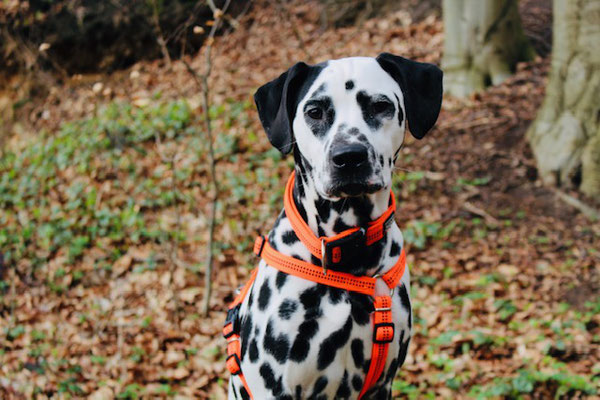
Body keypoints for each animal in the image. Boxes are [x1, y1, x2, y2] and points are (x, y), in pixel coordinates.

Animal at [229, 54, 440, 400]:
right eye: (315, 111)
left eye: (381, 105)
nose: (349, 157)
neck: (349, 252)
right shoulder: (275, 388)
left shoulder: (381, 385)